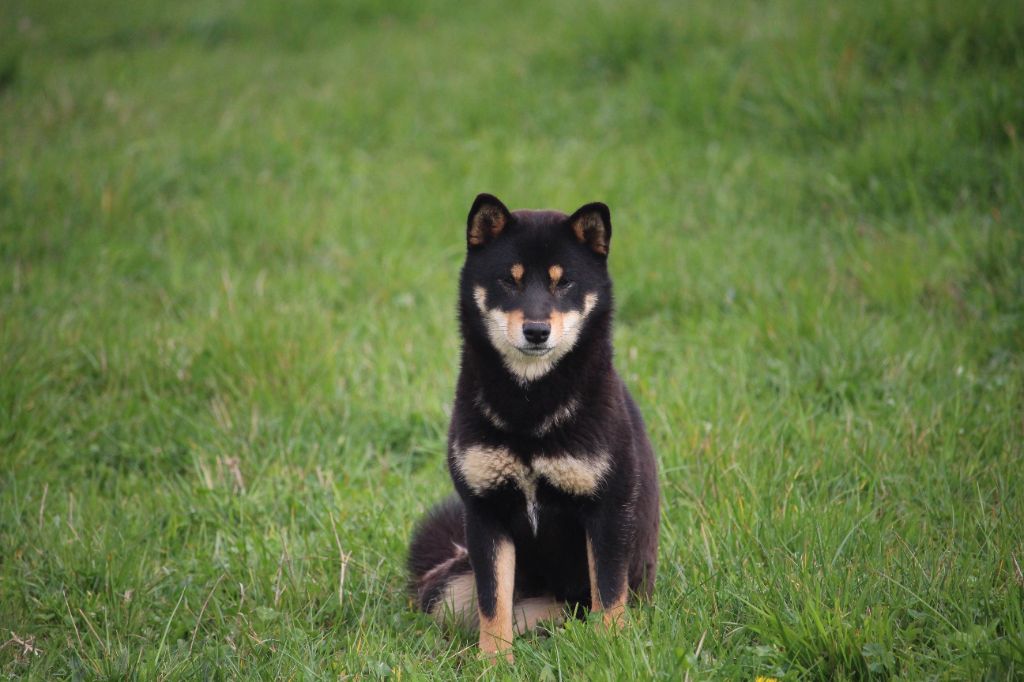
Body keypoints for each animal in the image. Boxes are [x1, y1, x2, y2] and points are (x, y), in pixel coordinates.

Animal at [405, 192, 655, 659]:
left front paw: (612, 649)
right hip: (449, 590)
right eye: (510, 280)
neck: (530, 406)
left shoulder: (609, 509)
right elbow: (493, 601)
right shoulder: (485, 511)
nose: (536, 331)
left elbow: (609, 592)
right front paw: (493, 661)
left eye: (564, 283)